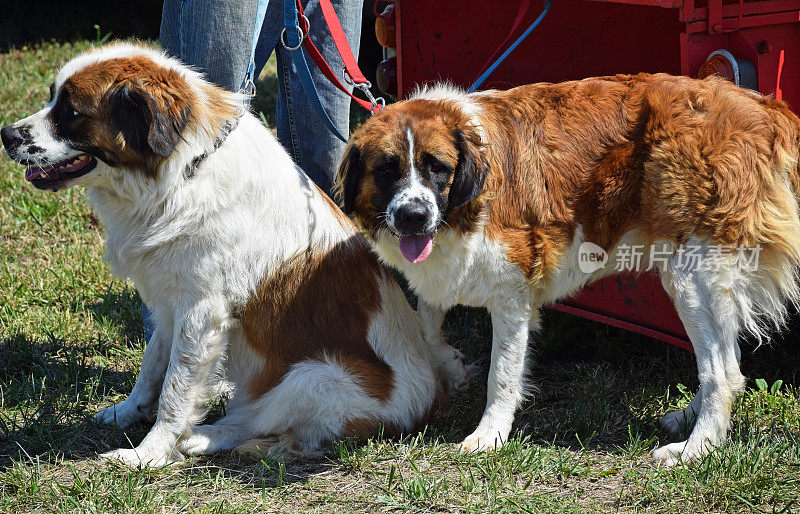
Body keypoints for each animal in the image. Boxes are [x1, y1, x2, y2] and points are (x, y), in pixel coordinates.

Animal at [0, 44, 468, 466]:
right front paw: (128, 412)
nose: (6, 135)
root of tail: (432, 395)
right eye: (52, 99)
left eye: (71, 112)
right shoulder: (170, 303)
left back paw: (200, 439)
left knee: (254, 419)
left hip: (309, 377)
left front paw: (149, 453)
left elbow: (176, 390)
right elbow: (153, 365)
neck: (183, 172)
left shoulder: (202, 311)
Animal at [336, 76, 800, 464]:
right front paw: (451, 366)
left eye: (437, 168)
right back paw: (688, 418)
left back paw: (696, 448)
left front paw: (489, 434)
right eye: (387, 170)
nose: (413, 216)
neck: (467, 203)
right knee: (729, 360)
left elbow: (502, 372)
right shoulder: (445, 273)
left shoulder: (512, 291)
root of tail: (759, 106)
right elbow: (427, 326)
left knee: (723, 372)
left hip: (692, 276)